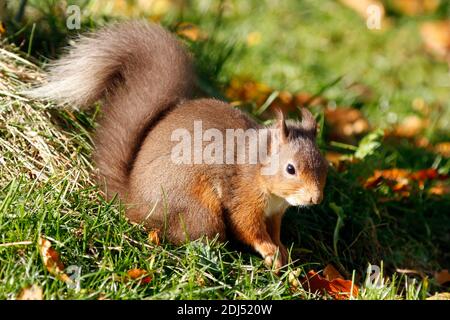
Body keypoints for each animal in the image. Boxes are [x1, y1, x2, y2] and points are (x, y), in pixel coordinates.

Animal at [29, 20, 328, 270]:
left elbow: (274, 231)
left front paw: (283, 252)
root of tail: (133, 202)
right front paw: (269, 252)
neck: (260, 171)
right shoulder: (242, 196)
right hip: (199, 212)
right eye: (290, 169)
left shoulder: (275, 213)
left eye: (324, 166)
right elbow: (247, 228)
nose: (316, 199)